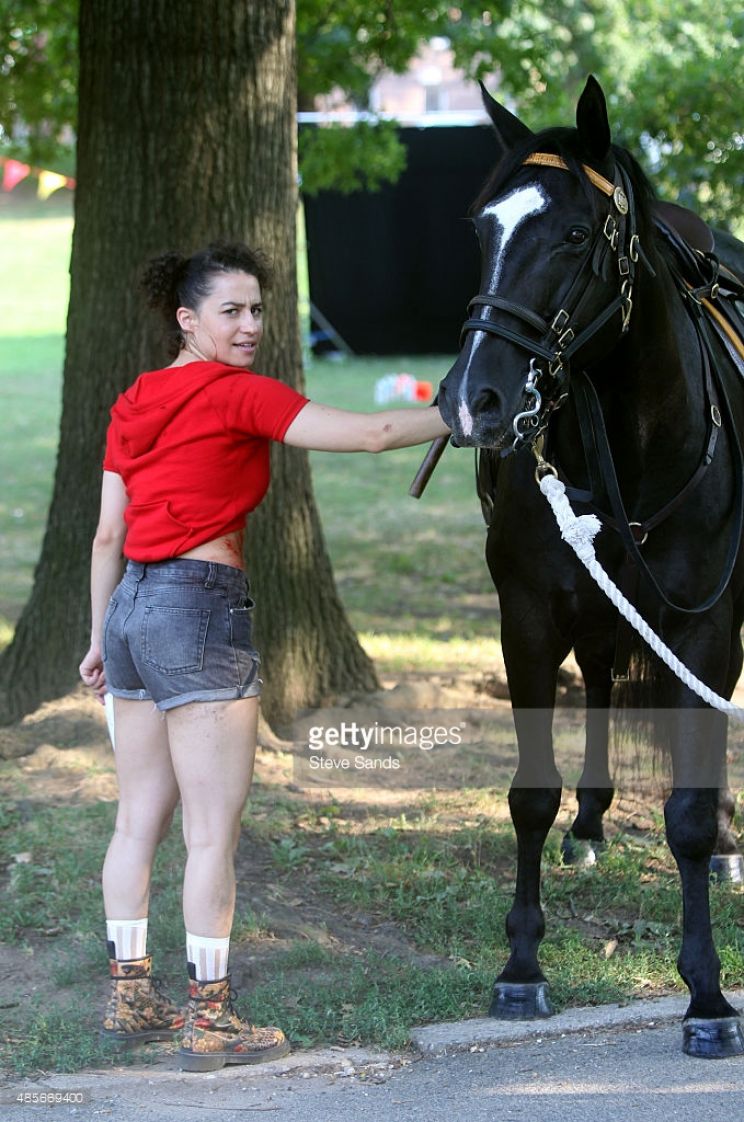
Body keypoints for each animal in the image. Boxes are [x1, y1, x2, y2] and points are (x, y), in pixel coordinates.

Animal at [439, 81, 744, 1059]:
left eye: (575, 235)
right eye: (481, 228)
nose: (473, 396)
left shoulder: (703, 624)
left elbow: (689, 812)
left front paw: (707, 996)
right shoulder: (529, 612)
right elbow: (530, 794)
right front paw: (521, 966)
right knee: (605, 676)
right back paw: (594, 819)